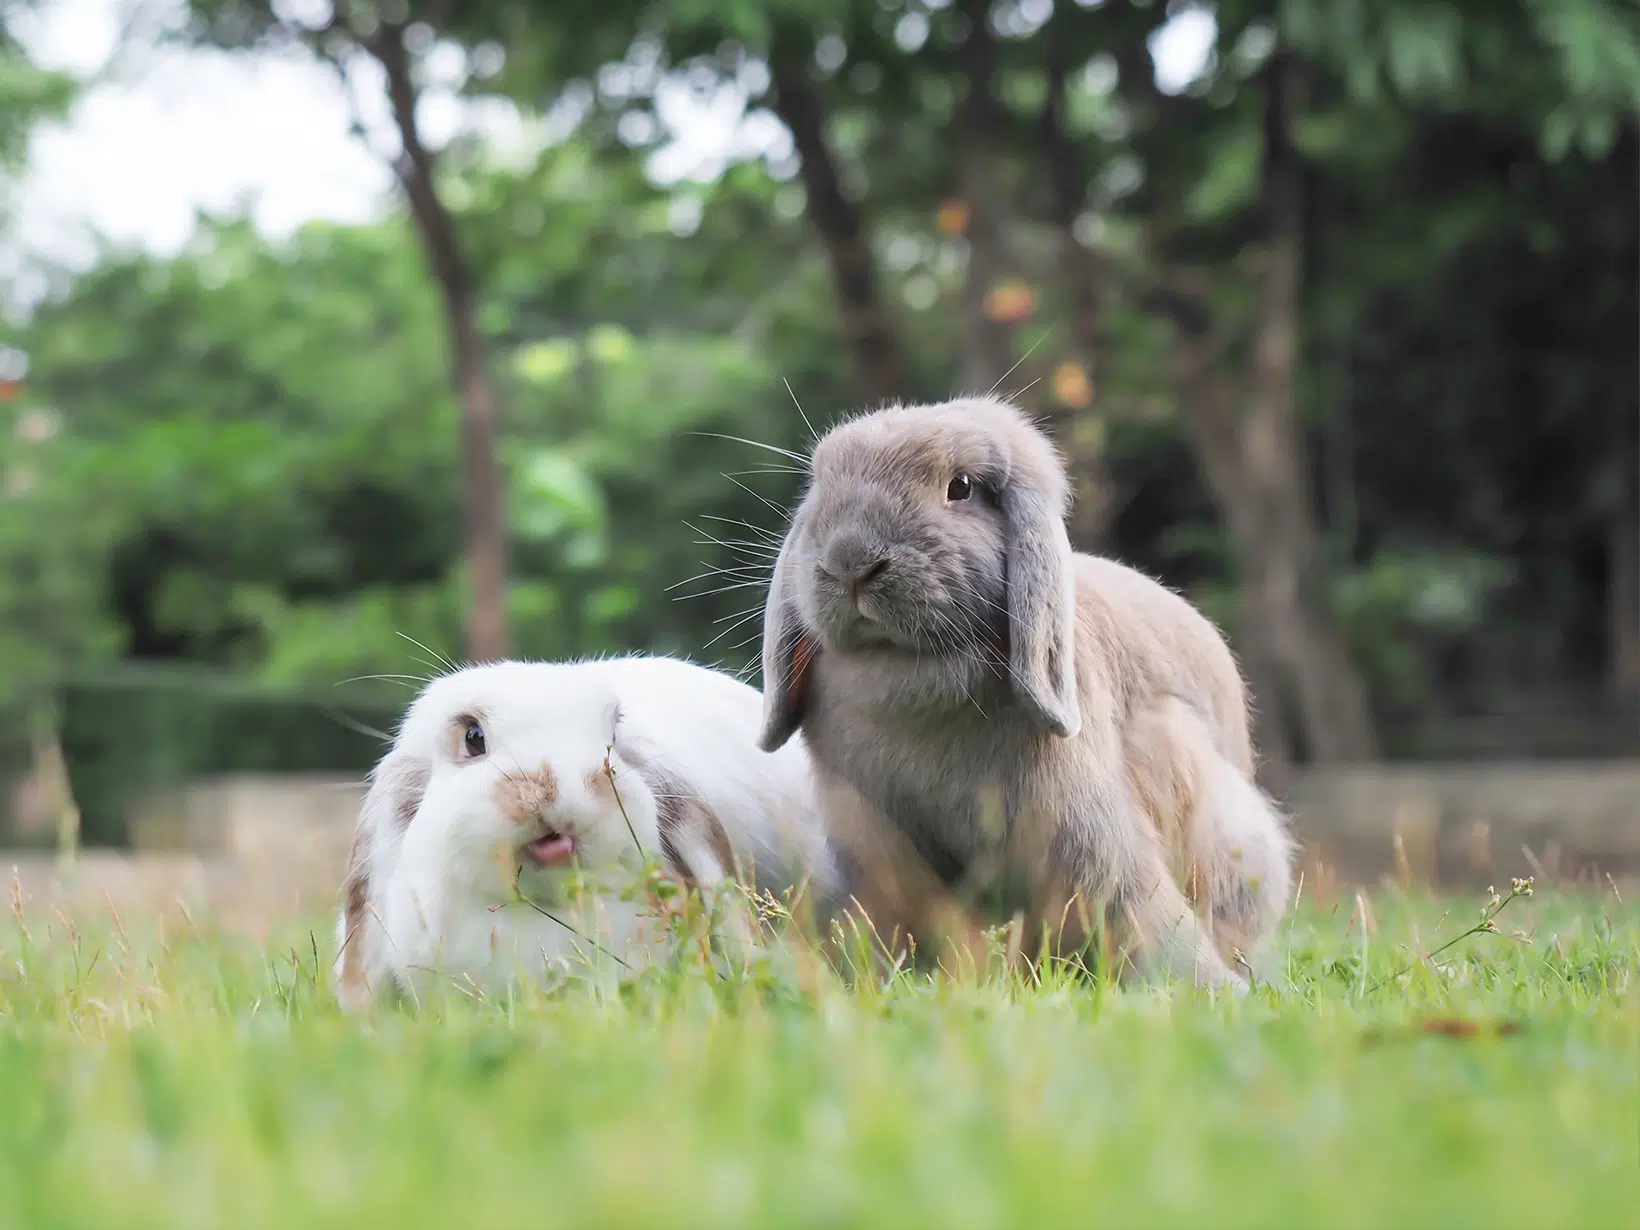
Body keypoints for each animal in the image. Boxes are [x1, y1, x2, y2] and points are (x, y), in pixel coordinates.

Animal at [754, 400, 1292, 997]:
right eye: (822, 483)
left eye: (961, 487)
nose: (851, 562)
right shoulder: (879, 842)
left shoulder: (1086, 835)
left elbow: (1139, 910)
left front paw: (1210, 991)